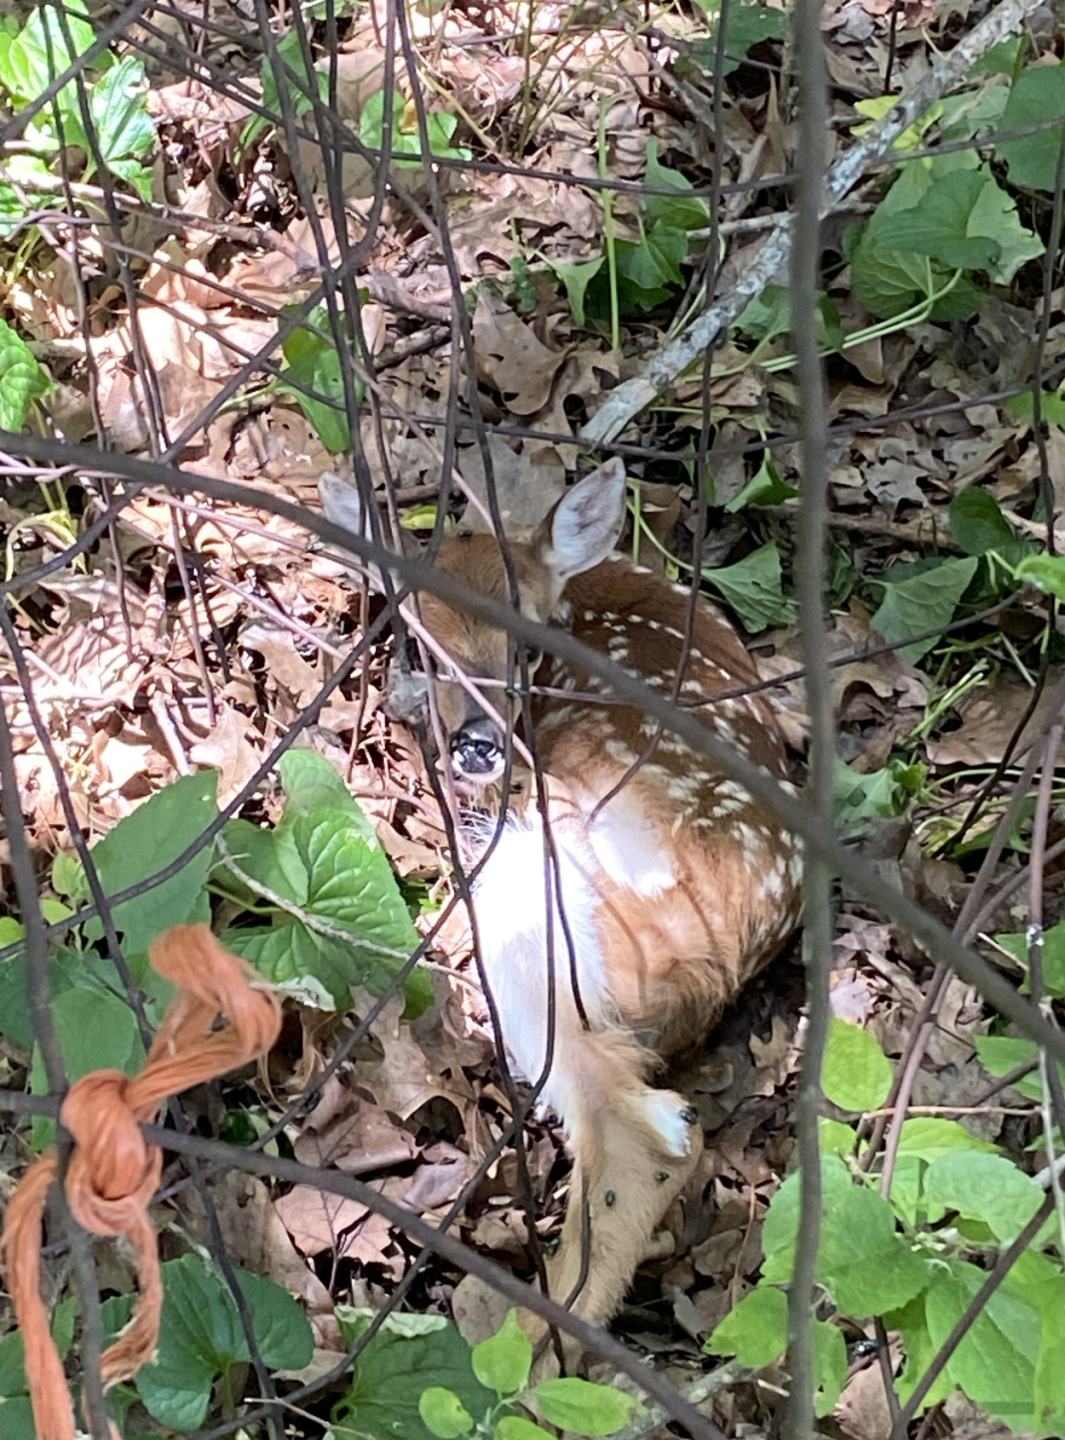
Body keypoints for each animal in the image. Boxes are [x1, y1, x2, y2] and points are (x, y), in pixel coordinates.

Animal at [319, 458, 802, 1355]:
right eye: (421, 642)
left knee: (646, 1131)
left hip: (541, 906)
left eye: (525, 642)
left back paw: (514, 1354)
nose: (476, 744)